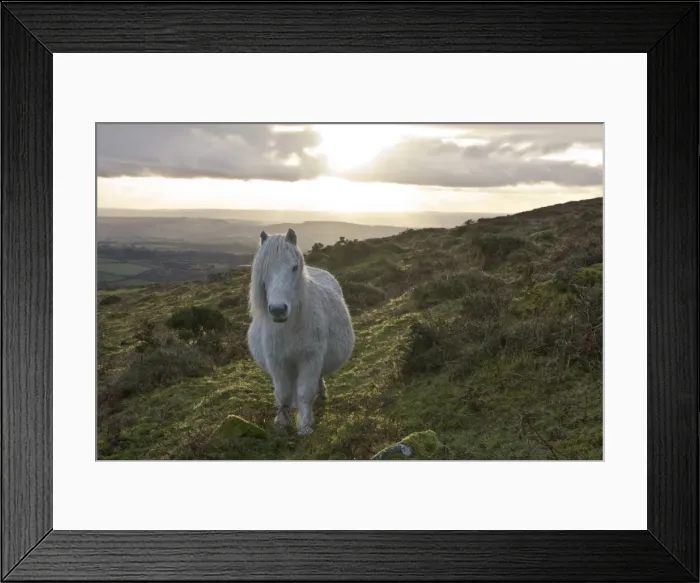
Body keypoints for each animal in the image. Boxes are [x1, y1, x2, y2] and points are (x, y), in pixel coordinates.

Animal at [247, 228, 355, 435]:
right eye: (264, 269)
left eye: (294, 267)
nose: (278, 310)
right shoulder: (278, 363)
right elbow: (283, 394)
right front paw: (281, 424)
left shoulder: (310, 359)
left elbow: (305, 392)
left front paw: (304, 426)